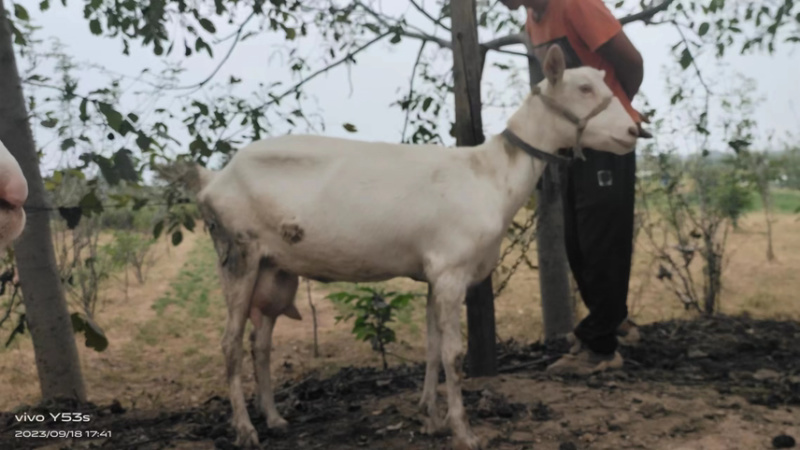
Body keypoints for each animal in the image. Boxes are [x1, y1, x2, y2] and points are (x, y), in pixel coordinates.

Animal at [167, 46, 636, 450]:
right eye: (584, 88)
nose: (635, 129)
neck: (490, 174)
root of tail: (213, 179)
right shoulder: (450, 270)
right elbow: (453, 353)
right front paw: (463, 431)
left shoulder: (434, 272)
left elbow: (431, 347)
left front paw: (430, 416)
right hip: (237, 255)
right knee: (229, 343)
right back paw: (246, 430)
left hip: (273, 268)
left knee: (259, 342)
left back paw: (275, 418)